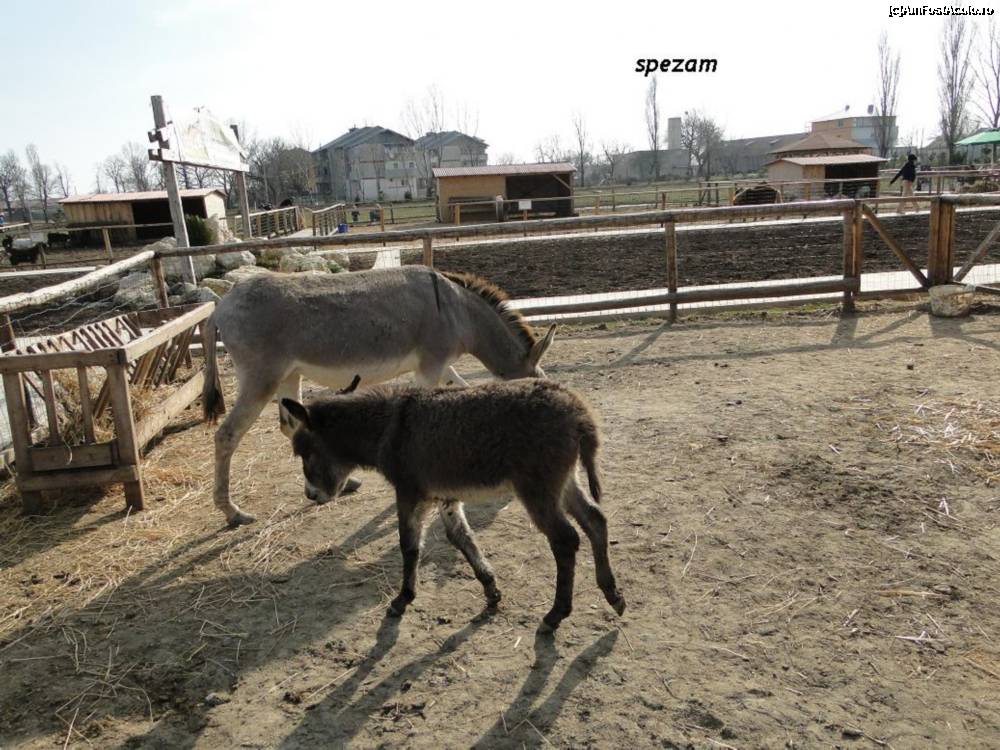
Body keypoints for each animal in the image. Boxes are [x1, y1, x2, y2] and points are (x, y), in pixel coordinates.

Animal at [280, 378, 626, 633]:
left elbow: (409, 545)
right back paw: (613, 595)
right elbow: (461, 538)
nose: (311, 496)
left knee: (565, 540)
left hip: (537, 488)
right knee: (595, 520)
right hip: (563, 482)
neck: (387, 428)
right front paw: (491, 590)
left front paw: (403, 599)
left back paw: (556, 615)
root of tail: (578, 410)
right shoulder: (445, 496)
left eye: (305, 452)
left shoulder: (410, 493)